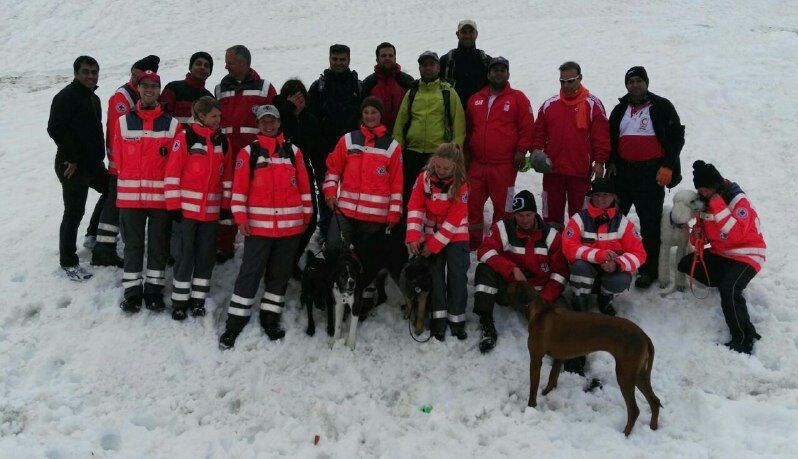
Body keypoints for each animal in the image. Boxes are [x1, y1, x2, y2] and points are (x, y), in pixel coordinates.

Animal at [518, 283, 662, 436]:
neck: (541, 310)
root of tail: (645, 337)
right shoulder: (559, 358)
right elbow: (552, 377)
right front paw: (546, 392)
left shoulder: (535, 359)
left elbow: (533, 388)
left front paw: (531, 407)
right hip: (638, 374)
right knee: (655, 401)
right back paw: (653, 427)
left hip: (625, 374)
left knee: (634, 410)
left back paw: (625, 434)